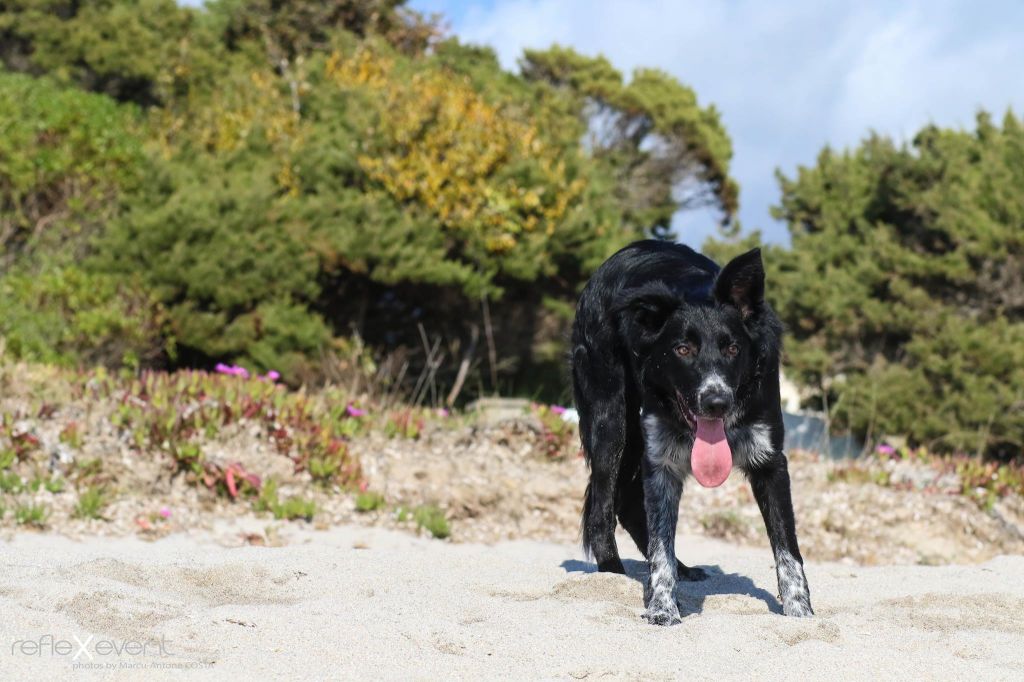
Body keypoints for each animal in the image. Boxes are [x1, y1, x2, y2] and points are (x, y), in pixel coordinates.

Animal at [573, 237, 811, 622]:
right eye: (682, 349)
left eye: (733, 348)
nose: (717, 403)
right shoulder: (661, 461)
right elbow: (661, 547)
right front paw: (662, 607)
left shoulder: (770, 460)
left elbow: (787, 548)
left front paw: (800, 611)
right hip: (612, 423)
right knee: (602, 511)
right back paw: (613, 575)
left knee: (627, 506)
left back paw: (681, 568)